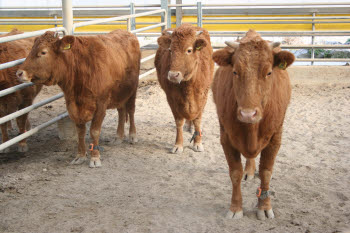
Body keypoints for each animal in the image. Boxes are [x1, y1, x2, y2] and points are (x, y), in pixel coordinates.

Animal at [16, 29, 139, 167]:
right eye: (31, 49)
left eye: (43, 52)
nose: (19, 73)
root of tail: (126, 32)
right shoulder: (73, 105)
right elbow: (80, 131)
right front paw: (80, 156)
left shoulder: (101, 105)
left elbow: (94, 131)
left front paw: (95, 157)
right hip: (119, 93)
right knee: (121, 111)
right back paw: (118, 137)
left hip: (133, 89)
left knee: (131, 110)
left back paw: (132, 135)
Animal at [155, 24, 215, 154]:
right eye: (170, 50)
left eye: (189, 50)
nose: (173, 75)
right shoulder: (171, 99)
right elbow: (179, 122)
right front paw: (178, 144)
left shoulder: (203, 97)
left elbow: (197, 120)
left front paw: (197, 143)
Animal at [212, 29, 294, 220]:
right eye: (235, 71)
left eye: (269, 72)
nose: (248, 114)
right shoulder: (226, 138)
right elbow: (235, 172)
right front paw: (235, 208)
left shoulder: (275, 138)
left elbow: (266, 173)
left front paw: (264, 207)